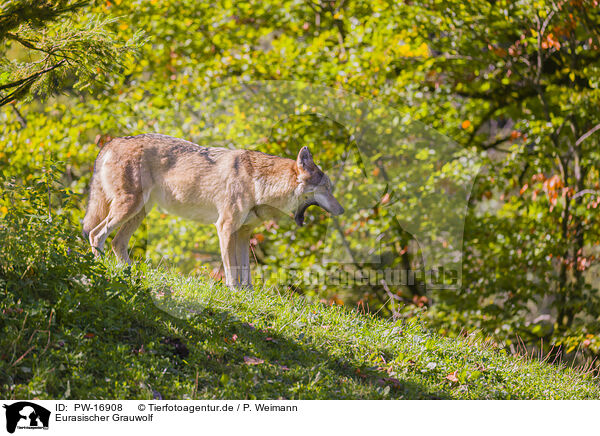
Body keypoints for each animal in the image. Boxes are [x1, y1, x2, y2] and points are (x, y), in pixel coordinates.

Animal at [81, 135, 342, 288]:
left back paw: (131, 273)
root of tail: (111, 142)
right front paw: (233, 292)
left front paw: (247, 294)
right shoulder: (225, 228)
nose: (341, 210)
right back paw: (99, 268)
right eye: (327, 188)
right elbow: (231, 270)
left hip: (139, 212)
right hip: (129, 207)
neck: (260, 184)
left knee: (117, 243)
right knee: (96, 234)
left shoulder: (243, 234)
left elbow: (246, 272)